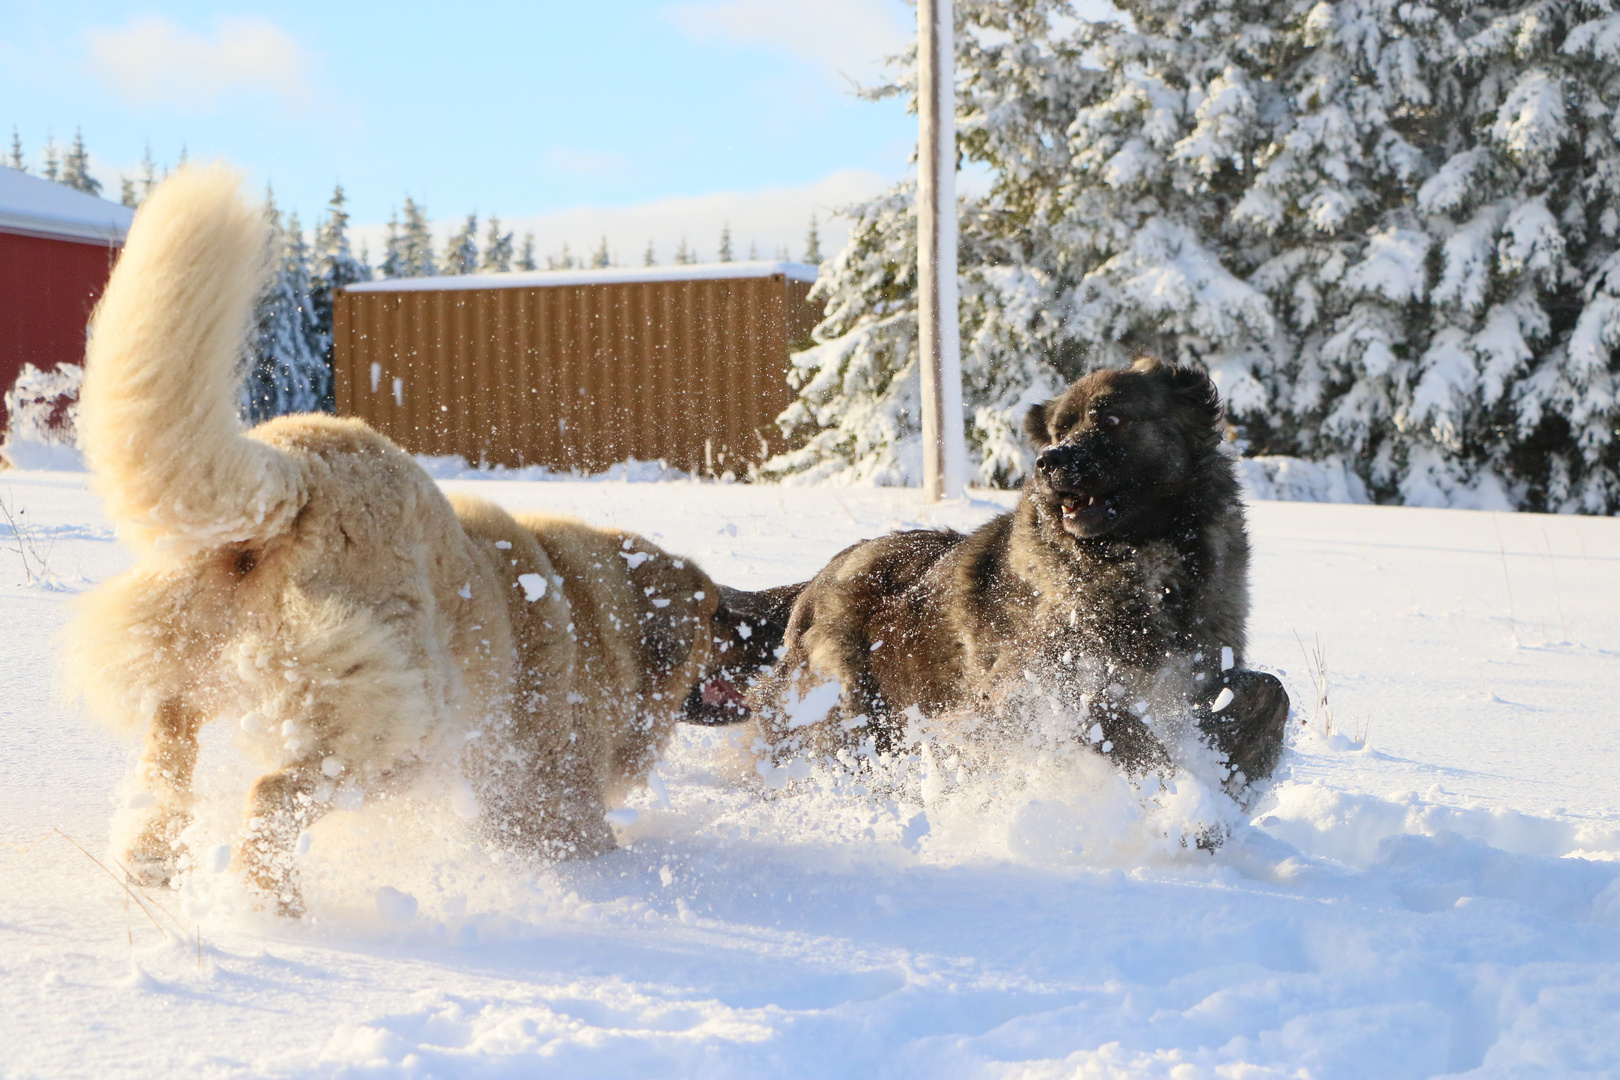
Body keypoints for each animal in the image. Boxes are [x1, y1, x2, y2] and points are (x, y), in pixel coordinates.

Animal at [68, 165, 716, 919]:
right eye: (712, 629)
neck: (593, 610)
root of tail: (300, 470)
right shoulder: (553, 804)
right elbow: (586, 842)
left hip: (202, 658)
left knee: (170, 741)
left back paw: (153, 857)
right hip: (400, 722)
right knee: (274, 791)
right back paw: (270, 904)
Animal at [751, 359, 1296, 799]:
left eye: (1111, 420)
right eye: (1058, 431)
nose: (1048, 461)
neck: (1137, 564)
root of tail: (814, 582)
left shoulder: (1196, 675)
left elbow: (1273, 690)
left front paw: (1236, 767)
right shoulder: (1016, 694)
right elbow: (1103, 716)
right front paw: (1183, 800)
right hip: (846, 709)